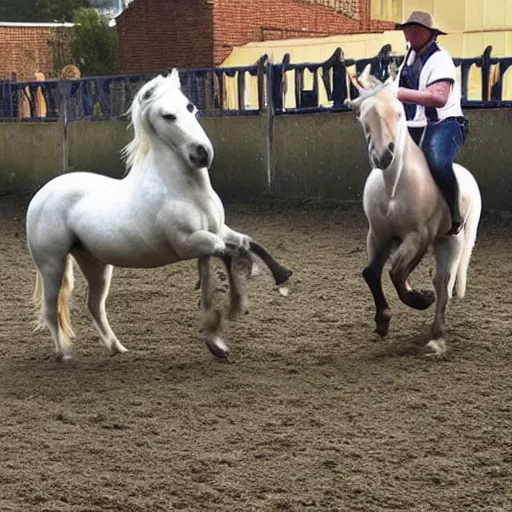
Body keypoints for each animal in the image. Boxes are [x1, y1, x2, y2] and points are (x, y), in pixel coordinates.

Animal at [27, 70, 292, 362]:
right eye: (167, 116)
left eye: (190, 107)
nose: (202, 153)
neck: (183, 189)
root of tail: (42, 194)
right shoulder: (189, 242)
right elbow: (227, 254)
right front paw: (234, 306)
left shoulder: (216, 230)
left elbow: (245, 243)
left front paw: (281, 275)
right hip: (52, 263)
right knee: (51, 309)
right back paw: (64, 354)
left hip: (96, 264)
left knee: (94, 305)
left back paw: (117, 348)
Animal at [346, 66, 482, 354]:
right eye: (362, 115)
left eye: (399, 112)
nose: (383, 156)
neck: (394, 187)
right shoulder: (378, 236)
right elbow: (371, 273)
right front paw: (383, 321)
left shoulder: (419, 237)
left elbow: (397, 273)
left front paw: (420, 298)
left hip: (450, 242)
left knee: (443, 283)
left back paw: (436, 336)